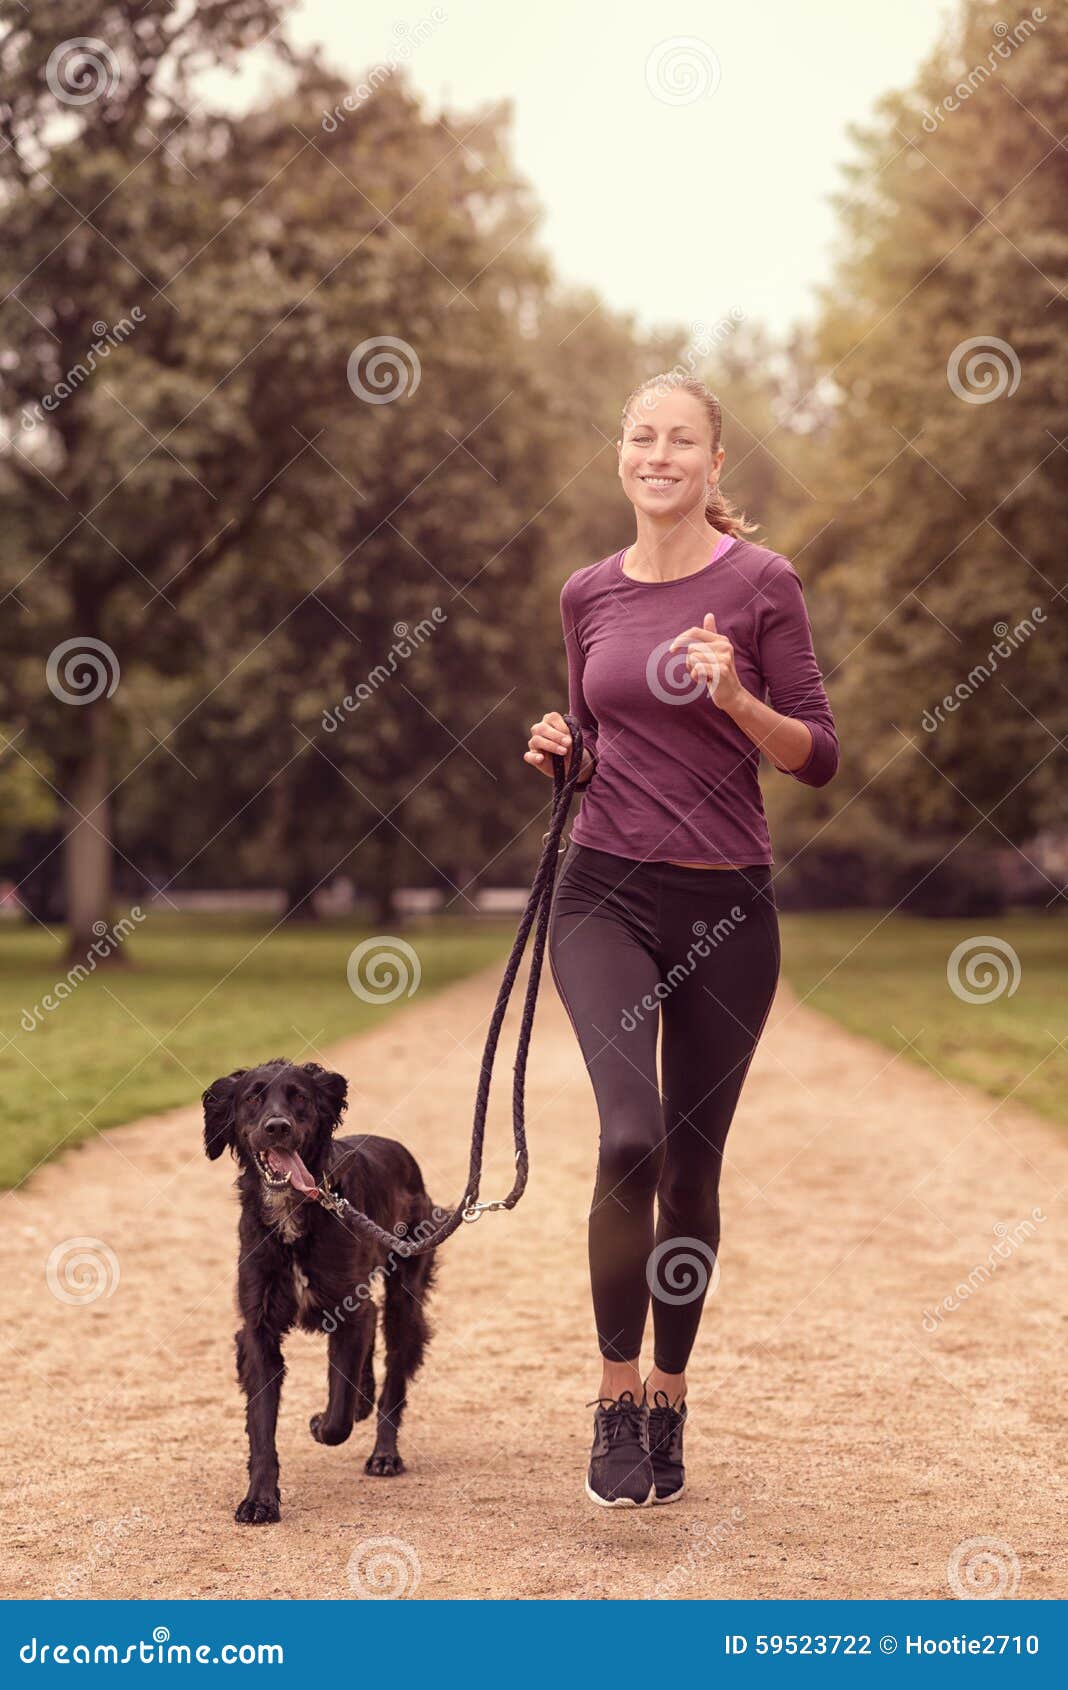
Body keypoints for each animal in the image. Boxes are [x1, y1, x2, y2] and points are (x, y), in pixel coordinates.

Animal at [201, 1054, 439, 1521]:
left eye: (300, 1097)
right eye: (253, 1097)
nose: (277, 1127)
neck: (295, 1214)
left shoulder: (347, 1308)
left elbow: (337, 1416)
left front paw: (320, 1422)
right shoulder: (258, 1327)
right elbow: (262, 1427)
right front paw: (259, 1501)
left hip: (405, 1292)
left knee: (393, 1371)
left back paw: (385, 1454)